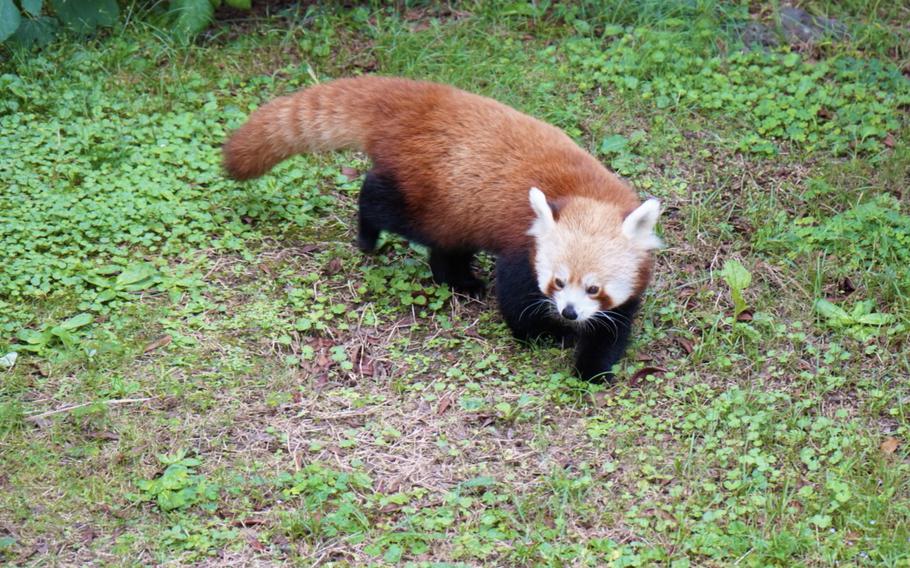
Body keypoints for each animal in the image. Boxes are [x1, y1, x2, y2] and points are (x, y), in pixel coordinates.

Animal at [221, 74, 664, 378]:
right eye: (557, 281)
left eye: (593, 288)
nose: (569, 313)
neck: (585, 195)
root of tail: (421, 101)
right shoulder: (523, 247)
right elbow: (515, 299)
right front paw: (544, 336)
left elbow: (614, 326)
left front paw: (593, 370)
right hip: (426, 196)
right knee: (384, 204)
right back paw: (368, 233)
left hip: (457, 209)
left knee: (446, 248)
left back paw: (460, 282)